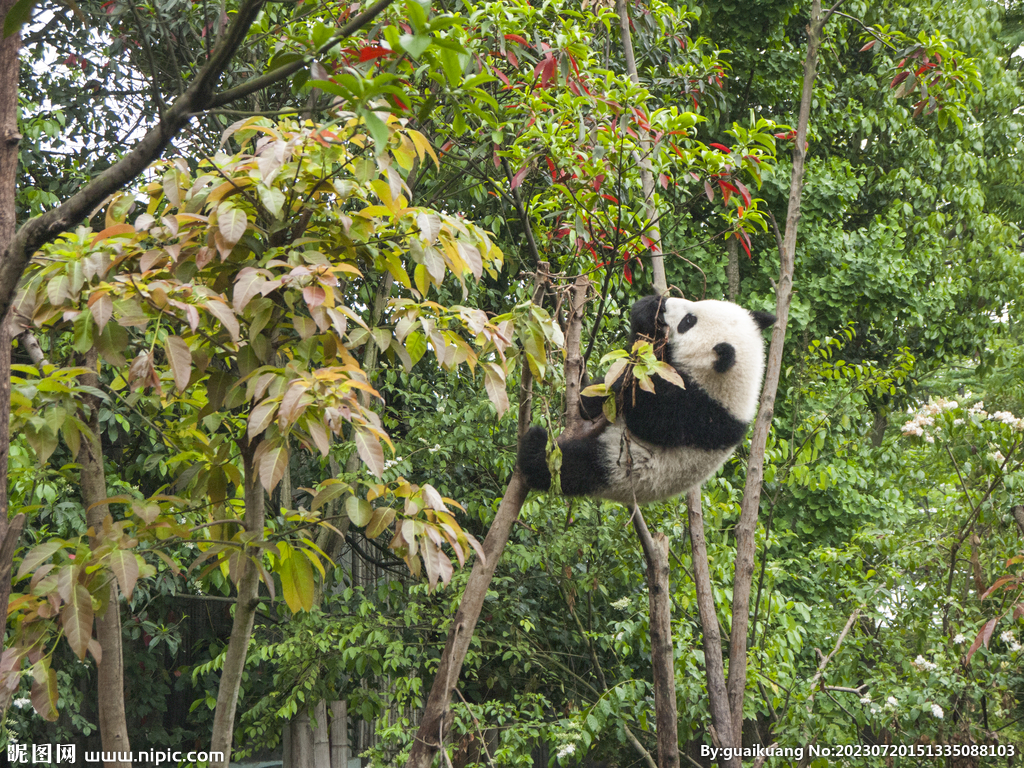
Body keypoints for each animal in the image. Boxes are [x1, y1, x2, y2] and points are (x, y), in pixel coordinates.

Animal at [520, 296, 774, 507]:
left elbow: (646, 416)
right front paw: (648, 310)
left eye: (688, 321)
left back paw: (535, 447)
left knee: (572, 467)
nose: (667, 303)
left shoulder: (700, 413)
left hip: (619, 468)